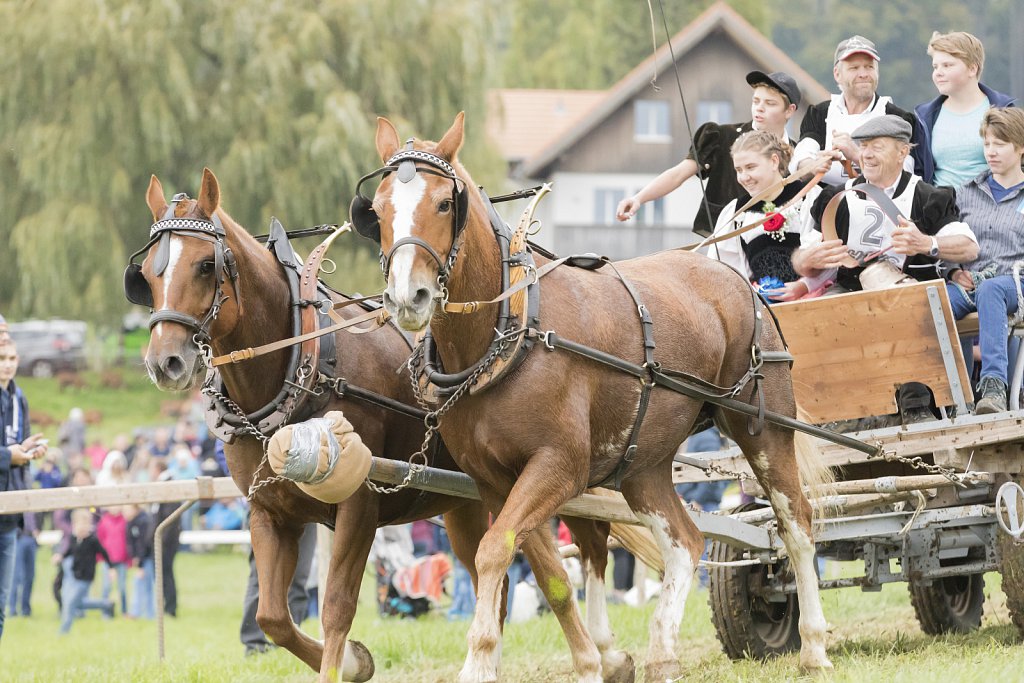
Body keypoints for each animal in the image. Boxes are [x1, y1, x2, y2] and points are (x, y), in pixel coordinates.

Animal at [132, 167, 491, 679]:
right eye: (144, 274)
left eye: (204, 265)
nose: (165, 363)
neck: (302, 361)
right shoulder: (270, 512)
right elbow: (272, 617)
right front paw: (356, 660)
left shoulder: (359, 504)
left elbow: (336, 605)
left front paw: (345, 661)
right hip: (462, 504)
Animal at [364, 114, 835, 679]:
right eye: (376, 209)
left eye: (441, 203)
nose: (405, 297)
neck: (512, 330)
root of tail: (734, 277)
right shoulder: (494, 482)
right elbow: (538, 568)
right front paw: (584, 658)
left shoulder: (559, 466)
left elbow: (493, 552)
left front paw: (479, 660)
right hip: (642, 465)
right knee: (686, 542)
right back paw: (663, 651)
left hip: (764, 432)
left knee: (796, 524)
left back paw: (814, 646)